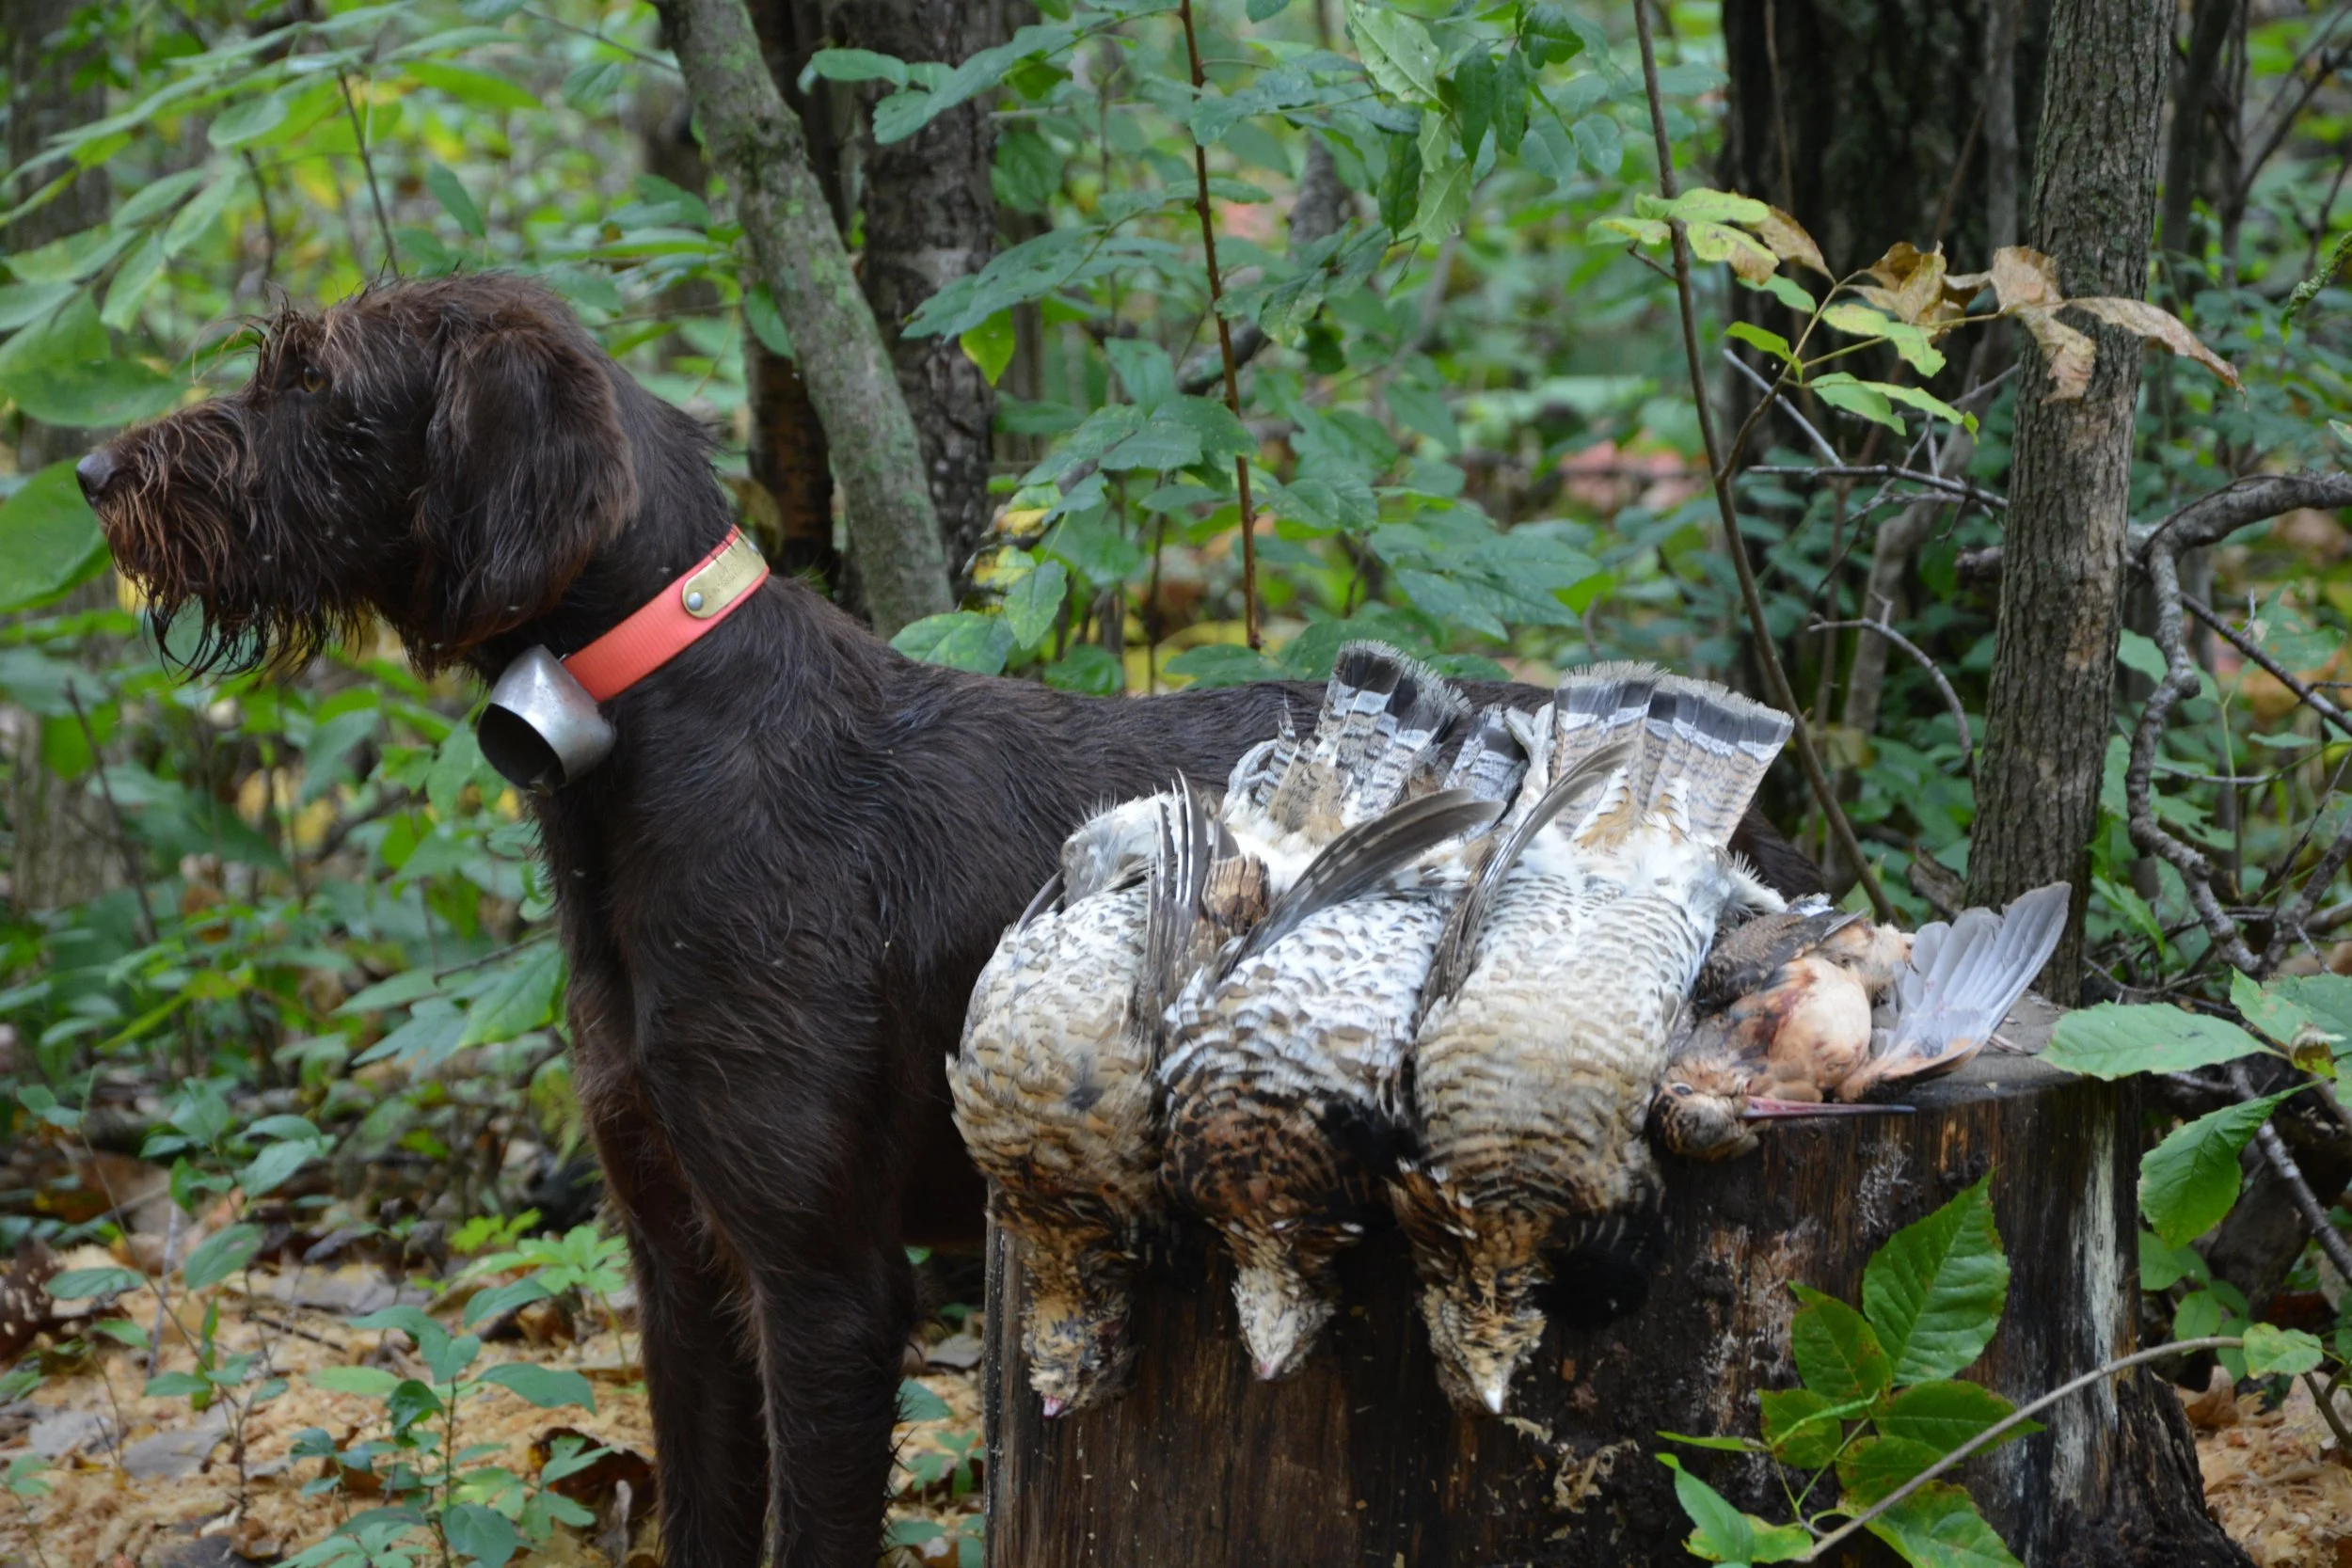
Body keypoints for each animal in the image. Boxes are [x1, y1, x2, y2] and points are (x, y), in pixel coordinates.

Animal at [78, 272, 1820, 1566]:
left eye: (315, 383)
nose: (98, 473)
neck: (654, 736)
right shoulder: (678, 1263)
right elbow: (705, 1511)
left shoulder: (826, 1284)